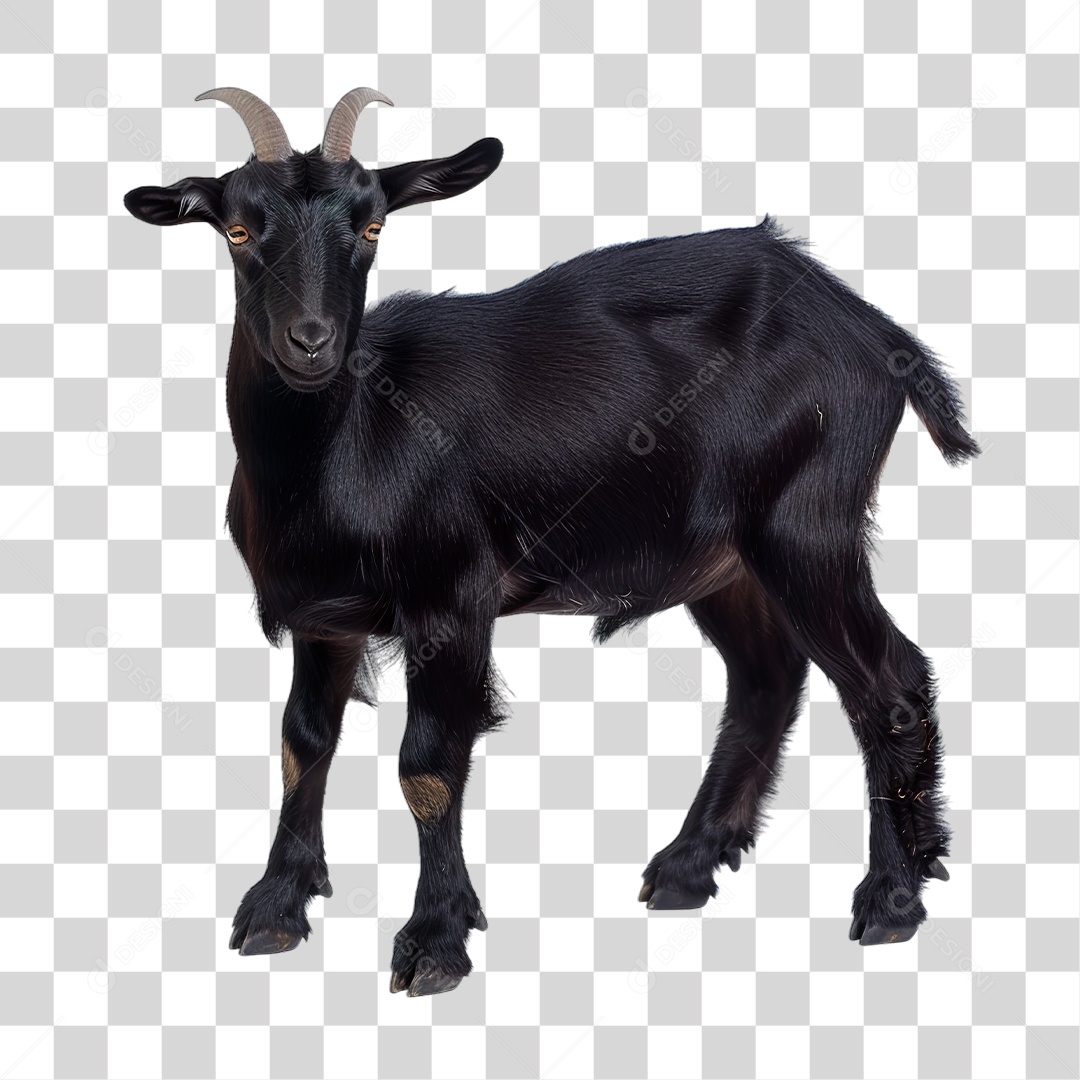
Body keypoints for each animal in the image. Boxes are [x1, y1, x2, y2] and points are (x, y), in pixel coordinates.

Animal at [125, 87, 980, 997]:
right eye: (238, 230)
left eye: (372, 225)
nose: (312, 341)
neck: (349, 442)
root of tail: (877, 333)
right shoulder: (324, 616)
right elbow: (304, 743)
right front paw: (276, 908)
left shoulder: (452, 597)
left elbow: (427, 764)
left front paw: (435, 940)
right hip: (722, 558)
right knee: (767, 679)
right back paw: (688, 865)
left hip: (806, 523)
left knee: (887, 680)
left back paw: (891, 897)